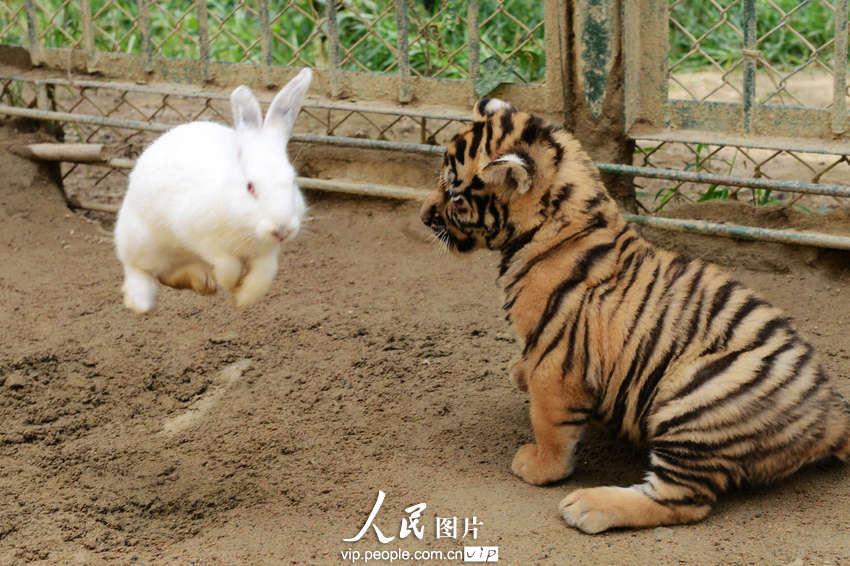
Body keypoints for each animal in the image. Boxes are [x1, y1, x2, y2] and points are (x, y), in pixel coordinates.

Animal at [419, 98, 850, 534]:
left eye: (455, 195)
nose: (423, 217)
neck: (558, 224)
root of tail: (832, 411)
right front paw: (517, 371)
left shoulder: (557, 362)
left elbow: (549, 424)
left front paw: (540, 467)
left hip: (696, 401)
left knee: (683, 501)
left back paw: (586, 506)